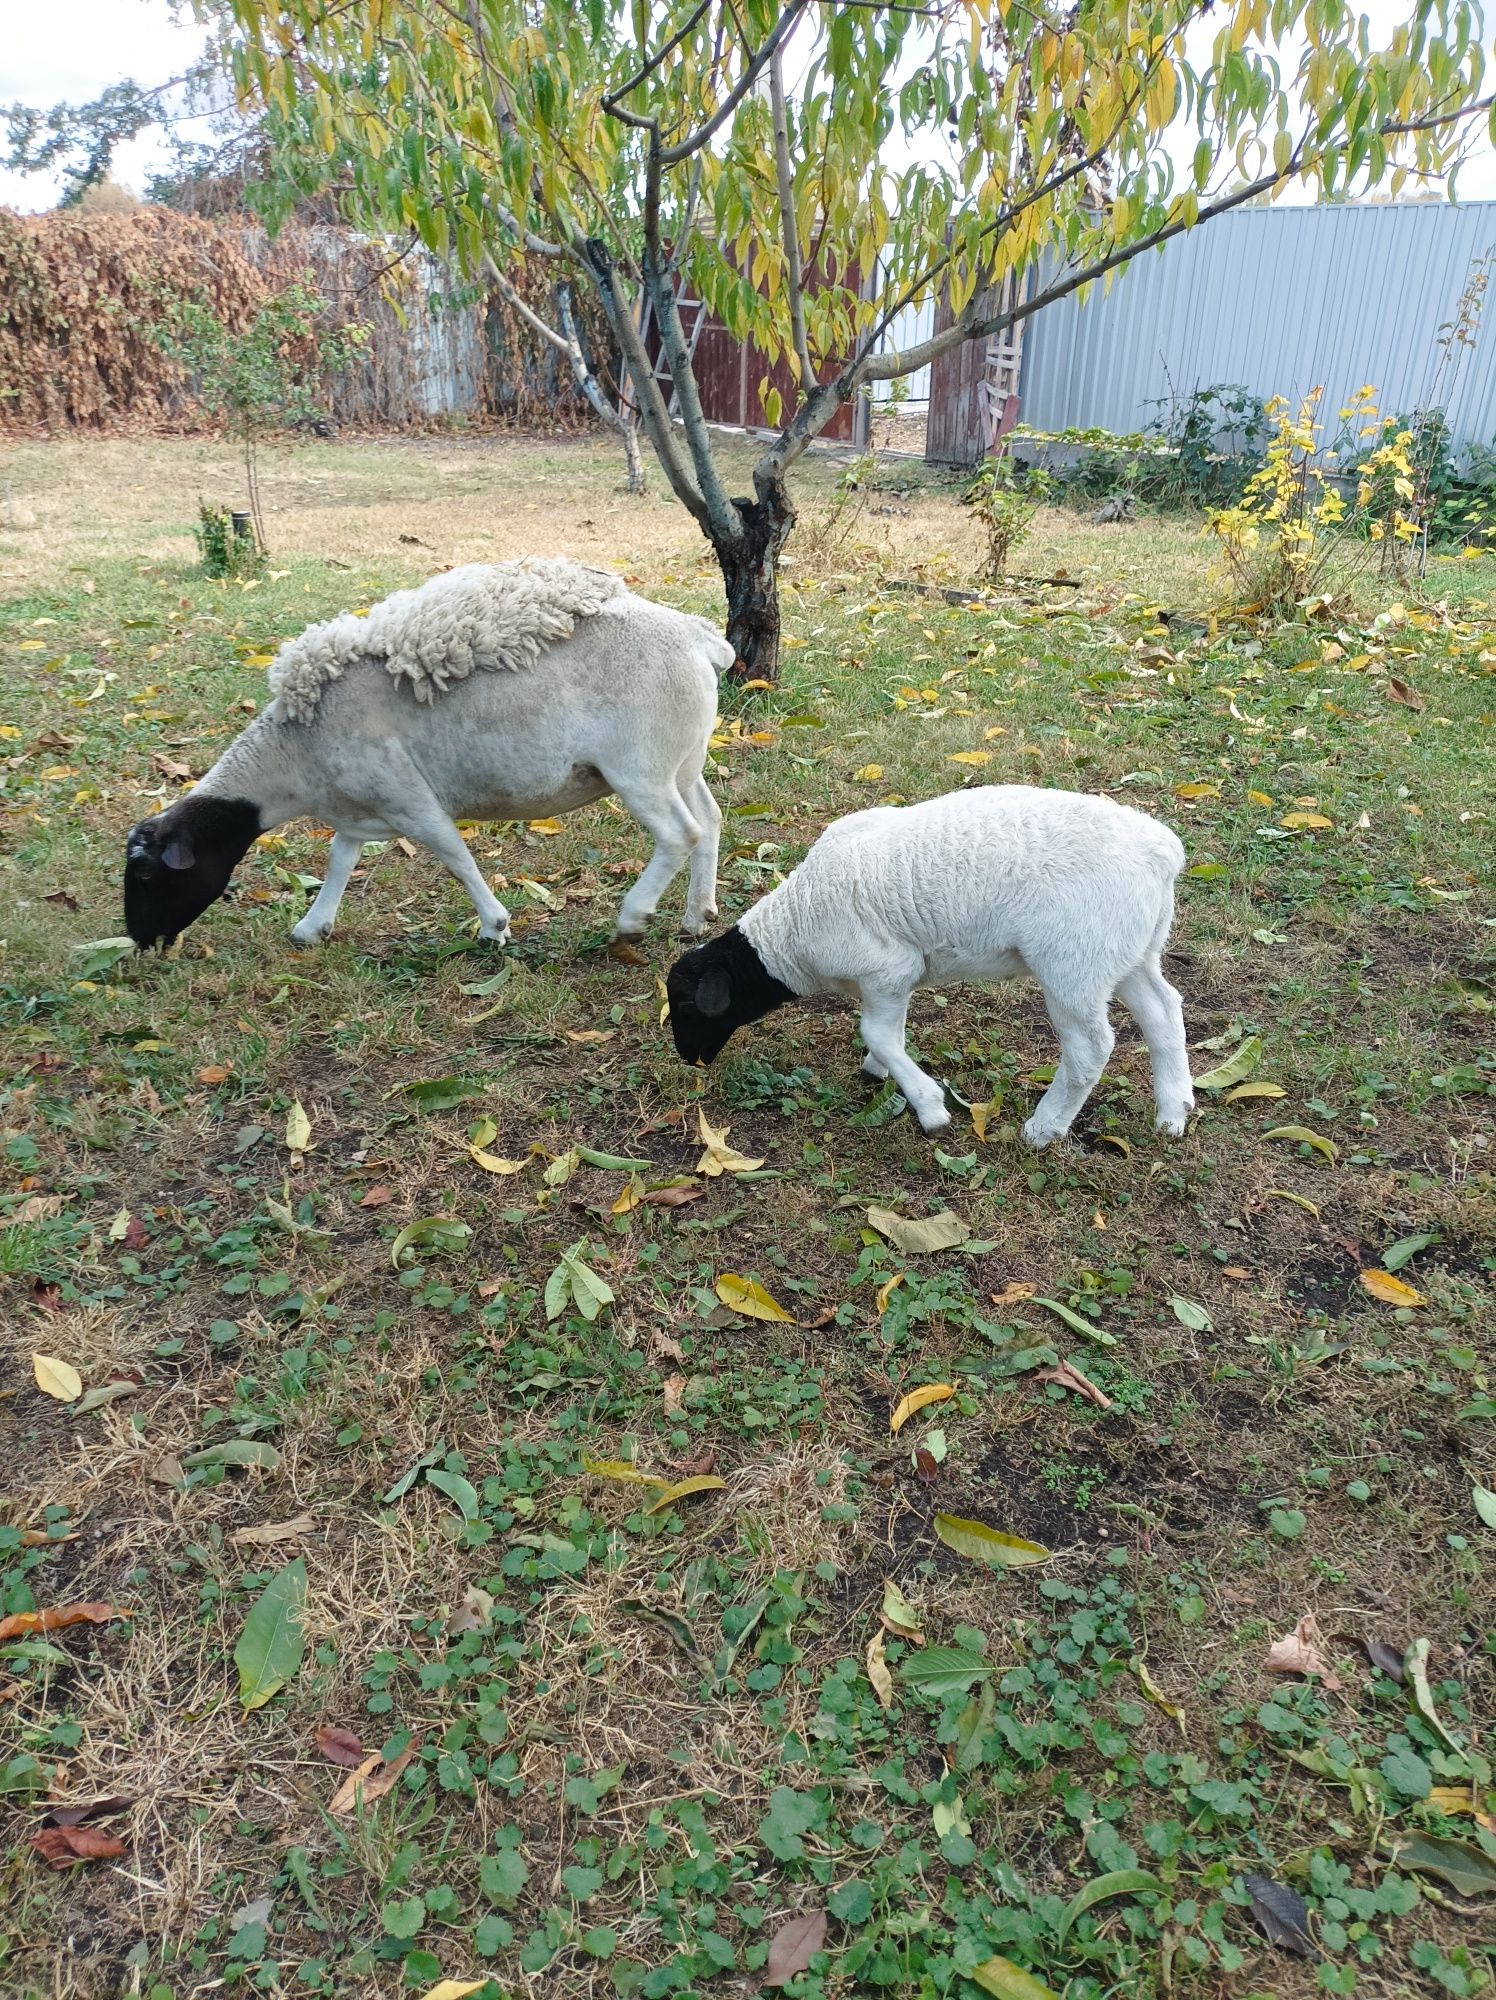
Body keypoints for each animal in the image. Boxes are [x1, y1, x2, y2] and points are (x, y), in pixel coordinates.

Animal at [122, 556, 732, 952]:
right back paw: (696, 916)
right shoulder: (363, 802)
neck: (295, 755)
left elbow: (454, 856)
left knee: (680, 833)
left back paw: (633, 917)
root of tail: (699, 637)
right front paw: (312, 928)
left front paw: (494, 926)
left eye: (147, 875)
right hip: (682, 758)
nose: (139, 940)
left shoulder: (410, 799)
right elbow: (340, 860)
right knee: (709, 819)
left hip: (640, 767)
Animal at [668, 788, 1192, 1152]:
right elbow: (890, 1032)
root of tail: (1162, 853)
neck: (793, 928)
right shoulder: (891, 981)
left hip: (1073, 960)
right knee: (1164, 1012)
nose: (689, 1058)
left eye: (688, 1007)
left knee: (1090, 1048)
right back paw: (1174, 1112)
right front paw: (880, 1071)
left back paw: (1044, 1128)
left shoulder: (887, 967)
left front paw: (930, 1108)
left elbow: (878, 1033)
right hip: (1126, 951)